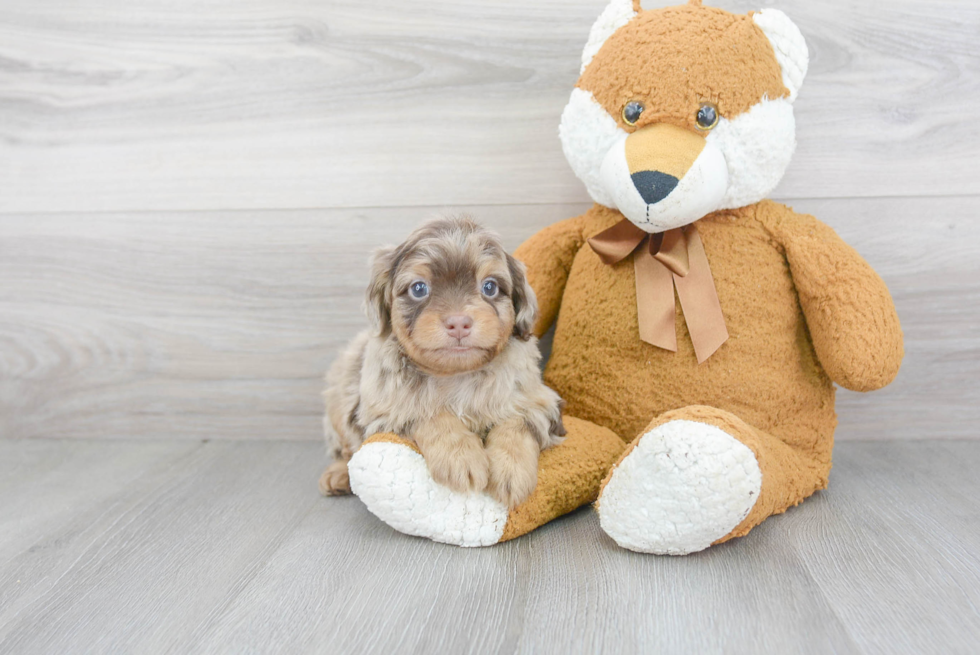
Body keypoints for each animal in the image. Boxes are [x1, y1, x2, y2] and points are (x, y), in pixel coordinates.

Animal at [320, 215, 564, 508]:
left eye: (490, 287)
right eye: (419, 288)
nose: (458, 322)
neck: (454, 374)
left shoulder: (537, 401)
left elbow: (516, 423)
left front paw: (510, 471)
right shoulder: (385, 412)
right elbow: (431, 415)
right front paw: (461, 458)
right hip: (341, 392)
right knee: (344, 447)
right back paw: (337, 475)